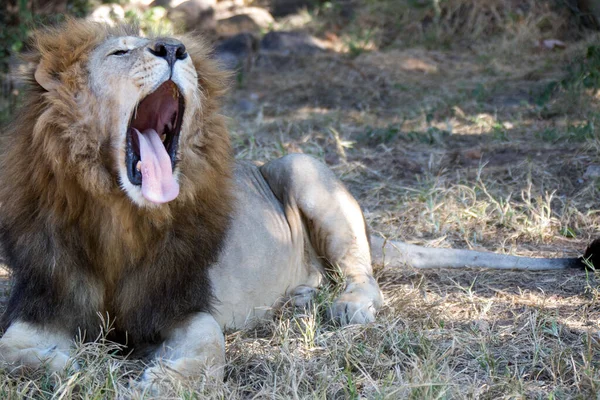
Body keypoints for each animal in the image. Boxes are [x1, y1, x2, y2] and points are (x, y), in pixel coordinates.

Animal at [0, 18, 596, 388]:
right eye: (120, 51)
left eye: (177, 50)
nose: (173, 48)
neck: (119, 220)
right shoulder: (38, 306)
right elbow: (18, 356)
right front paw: (78, 366)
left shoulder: (187, 309)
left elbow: (207, 353)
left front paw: (159, 382)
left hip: (300, 166)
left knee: (363, 274)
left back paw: (347, 305)